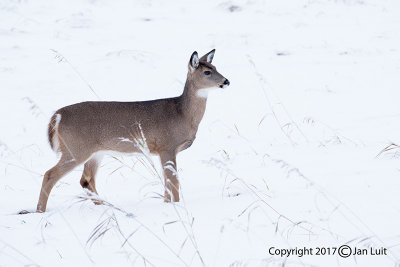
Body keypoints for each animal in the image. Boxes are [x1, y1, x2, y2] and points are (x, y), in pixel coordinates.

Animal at [37, 49, 231, 214]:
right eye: (206, 72)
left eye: (215, 67)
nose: (226, 81)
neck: (181, 113)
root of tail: (57, 115)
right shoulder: (167, 146)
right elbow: (173, 181)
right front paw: (175, 205)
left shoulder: (163, 151)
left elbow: (167, 183)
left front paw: (167, 204)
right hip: (75, 149)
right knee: (50, 174)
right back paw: (40, 211)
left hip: (95, 152)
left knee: (86, 180)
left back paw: (107, 206)